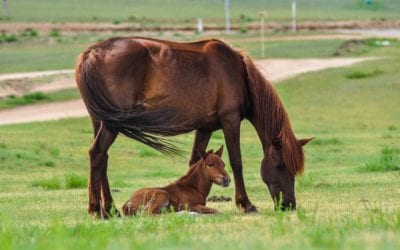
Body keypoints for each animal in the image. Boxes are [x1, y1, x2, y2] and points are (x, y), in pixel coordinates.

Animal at [75, 36, 312, 218]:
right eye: (279, 165)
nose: (289, 205)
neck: (239, 75)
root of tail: (90, 54)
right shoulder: (230, 121)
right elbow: (236, 162)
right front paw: (246, 204)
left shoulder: (205, 128)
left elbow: (195, 161)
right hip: (111, 124)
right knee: (97, 154)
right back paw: (97, 210)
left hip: (101, 121)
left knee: (102, 159)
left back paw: (110, 208)